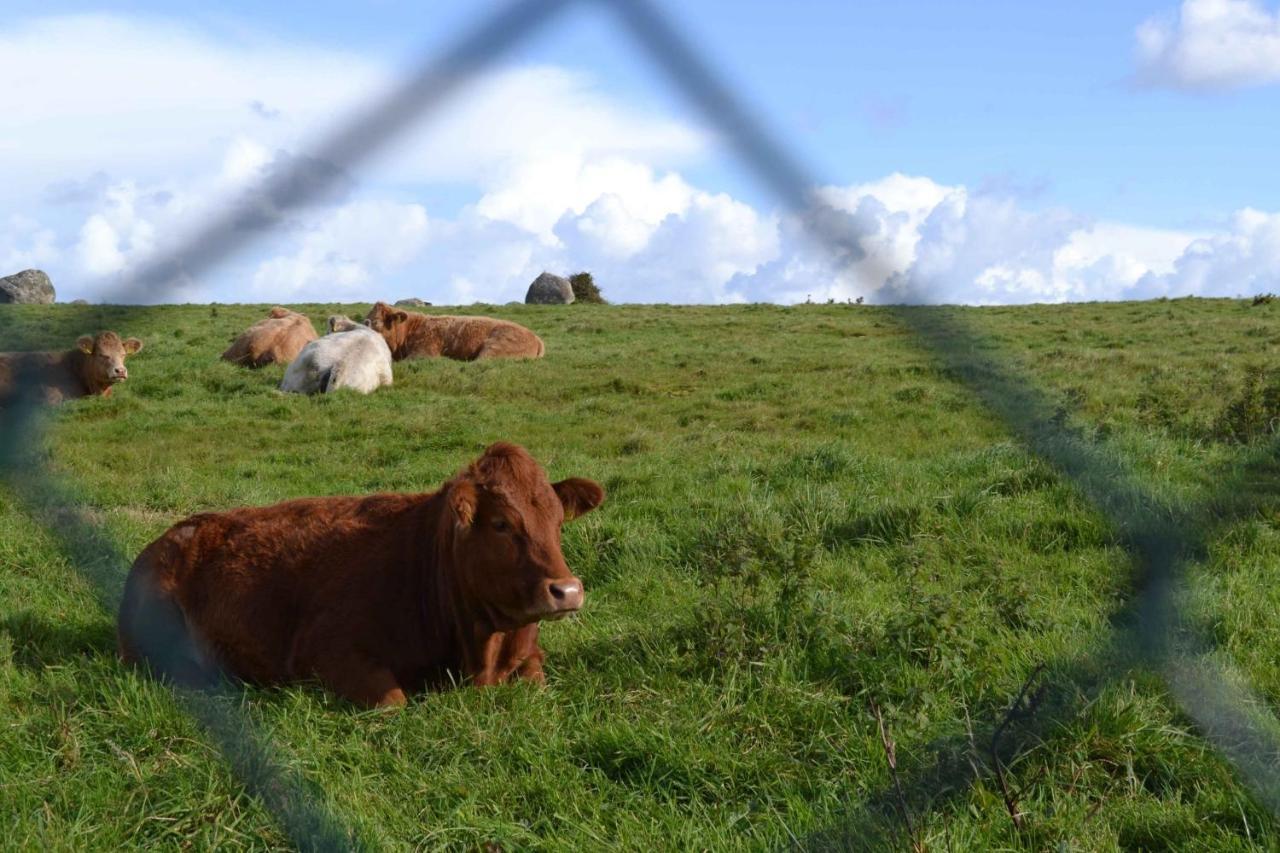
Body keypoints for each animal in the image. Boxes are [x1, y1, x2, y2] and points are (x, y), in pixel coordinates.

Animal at [115, 438, 604, 701]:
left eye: (558, 522)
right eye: (501, 523)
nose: (567, 590)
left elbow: (536, 679)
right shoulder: (326, 651)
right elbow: (393, 699)